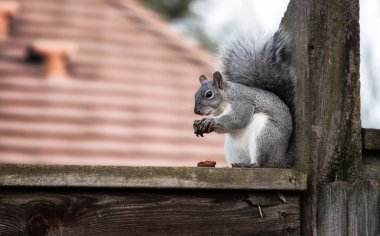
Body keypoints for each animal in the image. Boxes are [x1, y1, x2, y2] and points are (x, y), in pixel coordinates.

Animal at [193, 29, 294, 168]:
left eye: (209, 94)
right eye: (195, 94)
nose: (196, 111)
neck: (225, 101)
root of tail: (280, 160)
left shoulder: (243, 102)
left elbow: (237, 119)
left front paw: (210, 120)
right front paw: (198, 123)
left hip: (265, 135)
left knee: (262, 163)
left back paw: (252, 165)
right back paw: (238, 164)